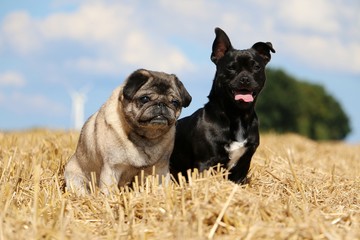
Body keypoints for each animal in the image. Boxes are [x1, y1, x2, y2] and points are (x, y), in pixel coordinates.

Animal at [170, 27, 274, 183]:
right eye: (231, 67)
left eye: (256, 67)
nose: (245, 79)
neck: (237, 115)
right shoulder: (206, 163)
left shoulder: (243, 165)